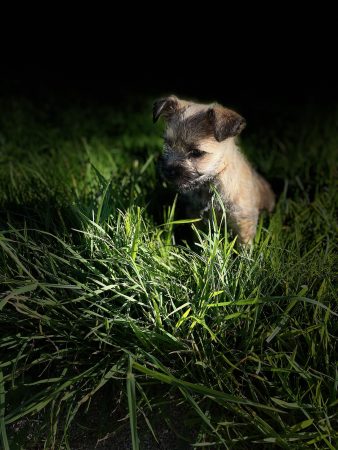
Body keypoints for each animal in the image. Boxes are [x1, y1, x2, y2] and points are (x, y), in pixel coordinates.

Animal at [153, 93, 274, 244]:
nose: (167, 171)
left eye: (196, 153)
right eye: (168, 143)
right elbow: (198, 236)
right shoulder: (195, 215)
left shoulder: (242, 218)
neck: (210, 184)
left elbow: (243, 242)